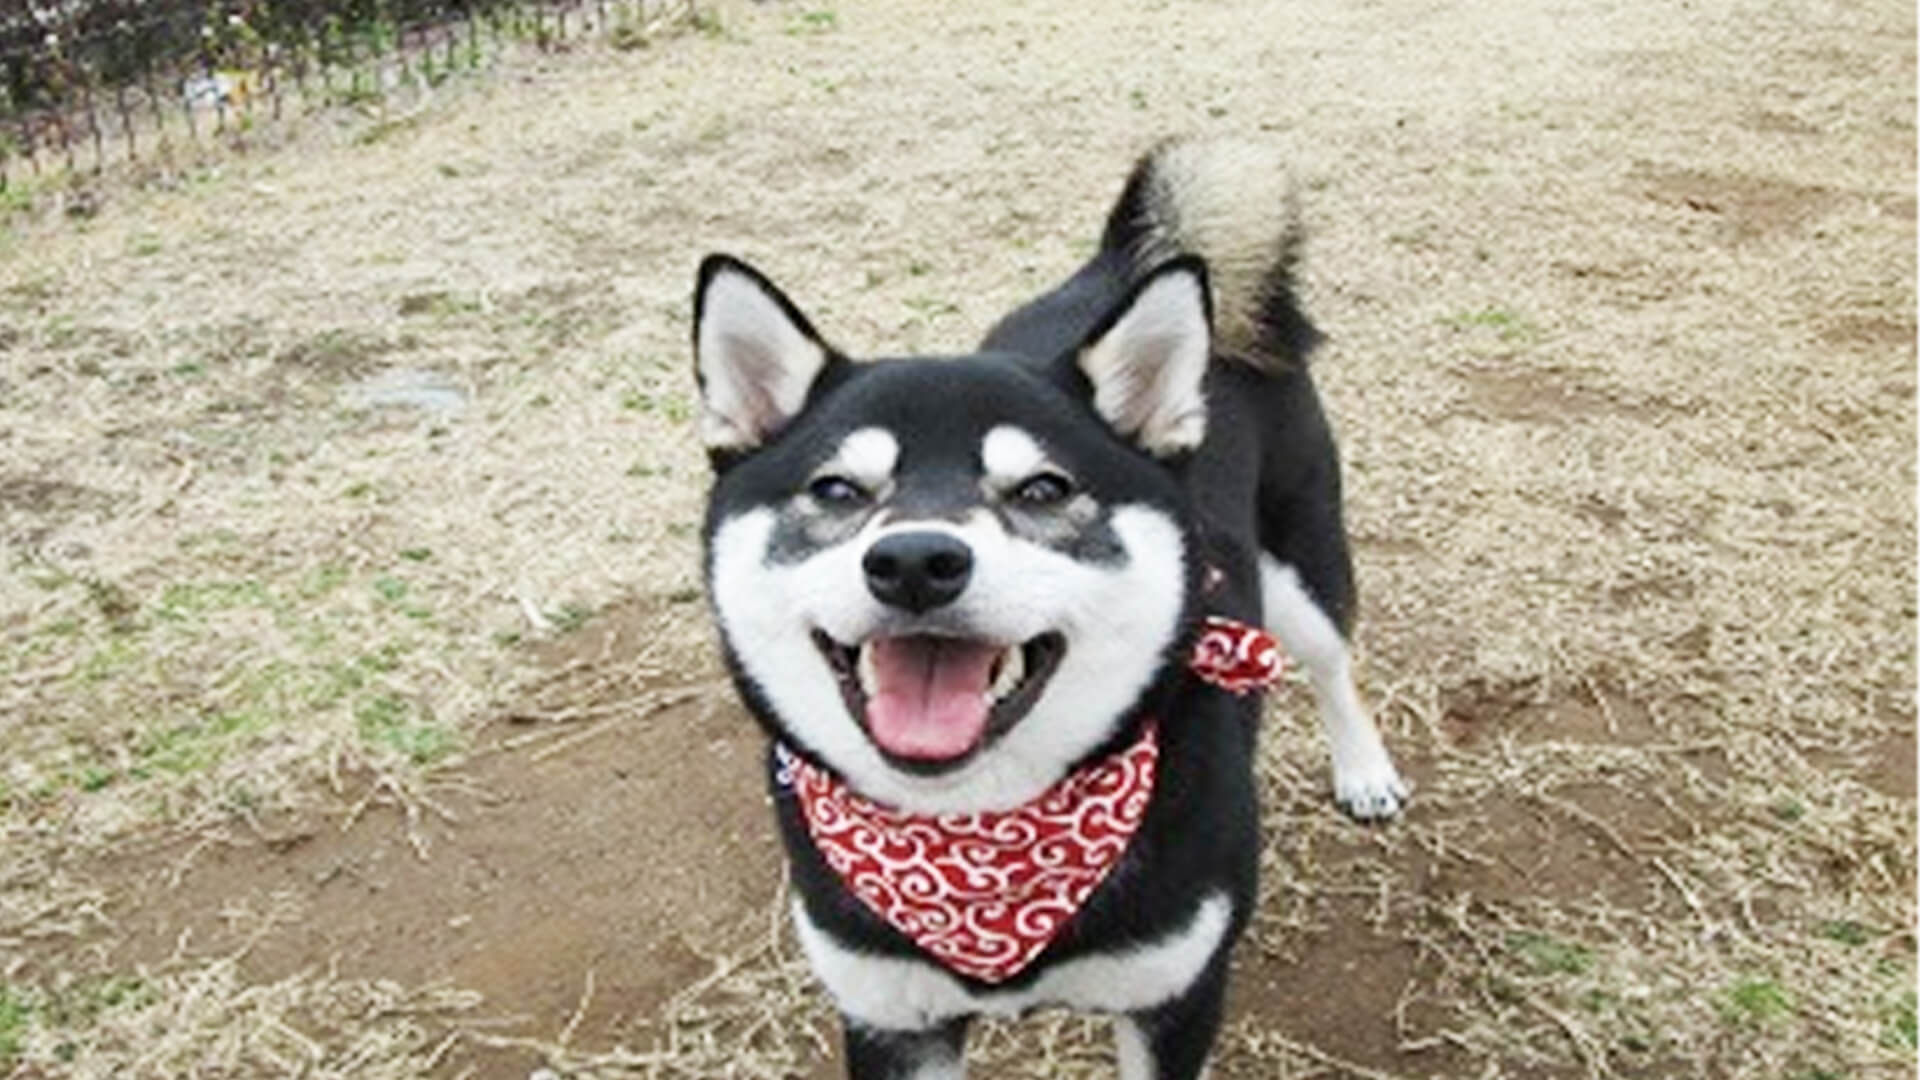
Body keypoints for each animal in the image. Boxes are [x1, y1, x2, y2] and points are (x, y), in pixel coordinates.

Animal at [695, 141, 1413, 1076]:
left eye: (1042, 490)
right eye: (838, 491)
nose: (915, 563)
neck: (980, 833)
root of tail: (1124, 263)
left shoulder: (1174, 997)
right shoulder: (889, 1017)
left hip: (1301, 574)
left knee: (1333, 664)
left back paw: (1365, 770)